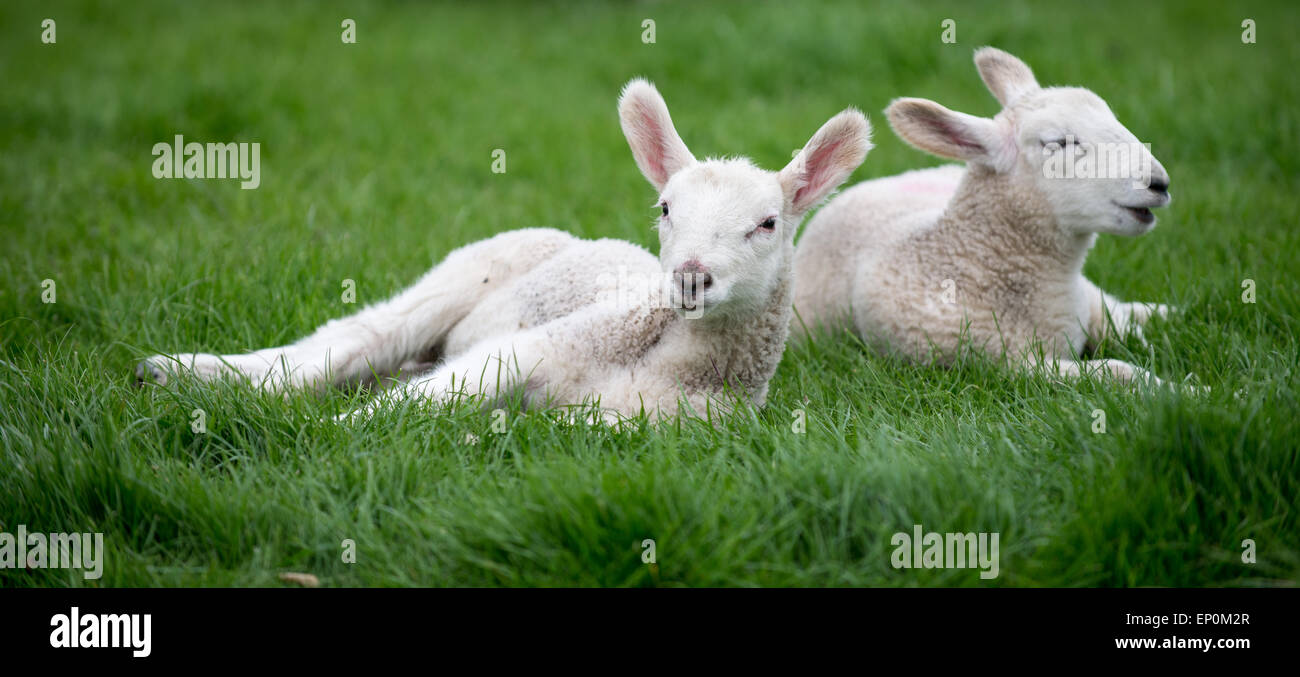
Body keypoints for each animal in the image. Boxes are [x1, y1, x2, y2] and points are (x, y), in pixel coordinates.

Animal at [134, 80, 873, 421]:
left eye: (768, 223)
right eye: (665, 210)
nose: (690, 279)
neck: (671, 359)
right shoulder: (530, 348)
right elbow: (434, 397)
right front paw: (342, 432)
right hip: (461, 276)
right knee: (339, 346)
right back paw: (177, 371)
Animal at [790, 46, 1180, 384]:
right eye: (1059, 142)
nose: (1159, 183)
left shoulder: (1094, 309)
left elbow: (1141, 323)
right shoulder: (1009, 362)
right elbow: (1117, 371)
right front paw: (1181, 392)